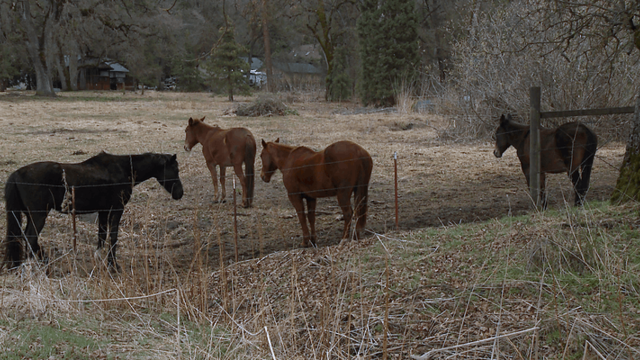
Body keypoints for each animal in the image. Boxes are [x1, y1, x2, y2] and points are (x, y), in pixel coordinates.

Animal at [4, 152, 185, 270]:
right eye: (175, 170)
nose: (180, 193)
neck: (122, 170)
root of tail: (16, 174)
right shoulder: (117, 209)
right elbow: (113, 236)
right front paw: (113, 265)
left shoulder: (103, 211)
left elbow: (102, 235)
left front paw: (100, 258)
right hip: (38, 216)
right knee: (30, 237)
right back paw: (40, 263)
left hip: (30, 215)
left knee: (25, 237)